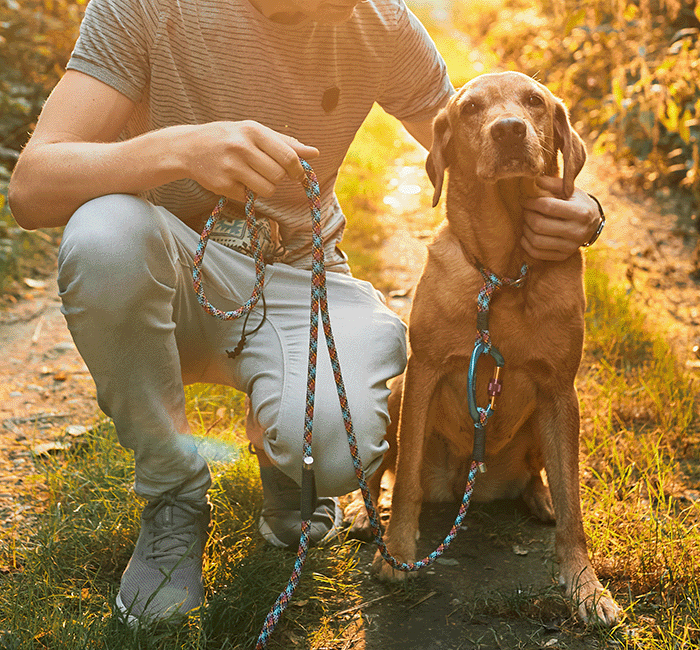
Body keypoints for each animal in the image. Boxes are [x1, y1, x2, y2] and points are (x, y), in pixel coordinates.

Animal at [364, 73, 620, 624]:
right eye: (471, 109)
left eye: (535, 102)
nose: (508, 130)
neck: (502, 273)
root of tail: (472, 485)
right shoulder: (424, 372)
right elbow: (407, 477)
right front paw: (397, 551)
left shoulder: (560, 389)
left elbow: (574, 507)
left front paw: (585, 585)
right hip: (393, 395)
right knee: (383, 471)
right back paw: (361, 509)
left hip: (548, 418)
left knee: (543, 476)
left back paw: (540, 498)